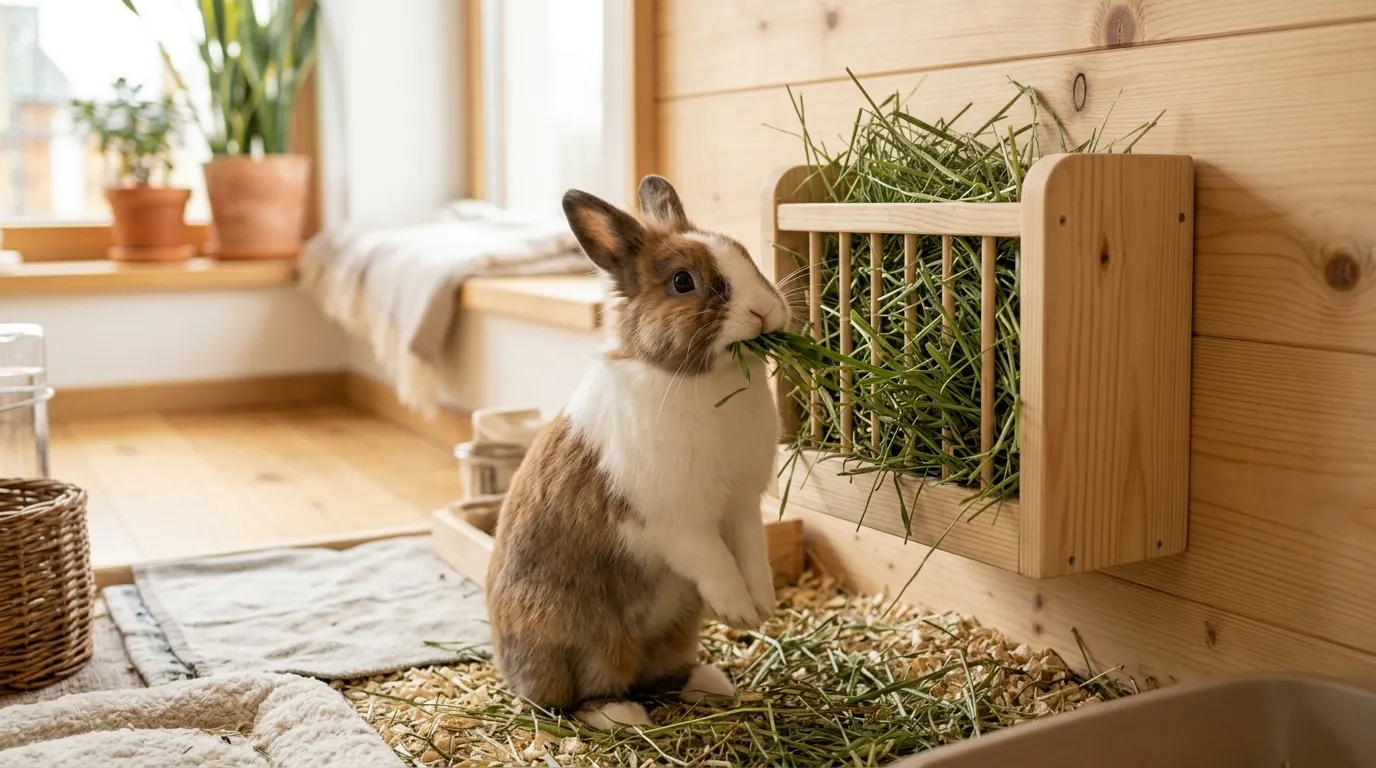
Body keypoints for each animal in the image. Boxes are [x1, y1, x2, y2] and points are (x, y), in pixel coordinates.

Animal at [484, 175, 790, 729]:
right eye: (683, 283)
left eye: (742, 252)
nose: (762, 310)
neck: (698, 379)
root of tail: (514, 674)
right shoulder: (675, 522)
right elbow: (715, 560)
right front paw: (737, 609)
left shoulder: (742, 508)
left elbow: (751, 553)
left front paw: (762, 605)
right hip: (591, 636)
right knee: (584, 692)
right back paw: (621, 715)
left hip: (678, 625)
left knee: (661, 673)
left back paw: (709, 684)